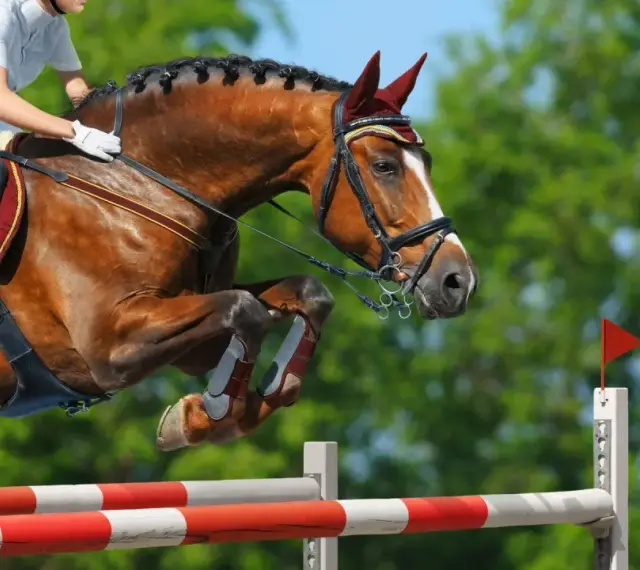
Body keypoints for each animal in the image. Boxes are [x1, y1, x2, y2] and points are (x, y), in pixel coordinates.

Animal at [0, 51, 478, 451]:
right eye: (384, 166)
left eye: (427, 162)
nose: (459, 282)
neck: (132, 181)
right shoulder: (108, 347)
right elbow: (244, 310)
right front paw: (202, 416)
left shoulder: (185, 340)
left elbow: (304, 297)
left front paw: (227, 407)